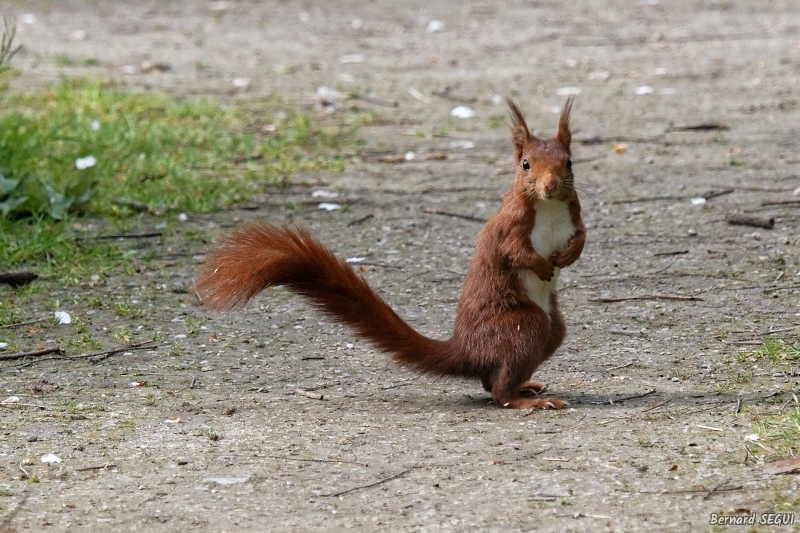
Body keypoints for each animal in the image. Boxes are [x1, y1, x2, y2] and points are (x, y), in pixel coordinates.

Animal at [191, 97, 584, 410]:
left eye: (568, 163)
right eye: (525, 164)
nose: (550, 187)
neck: (547, 208)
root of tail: (467, 349)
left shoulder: (574, 213)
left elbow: (581, 237)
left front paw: (566, 257)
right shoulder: (508, 227)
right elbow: (513, 252)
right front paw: (541, 264)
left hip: (552, 329)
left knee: (495, 377)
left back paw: (527, 386)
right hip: (522, 325)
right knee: (498, 391)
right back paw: (524, 399)